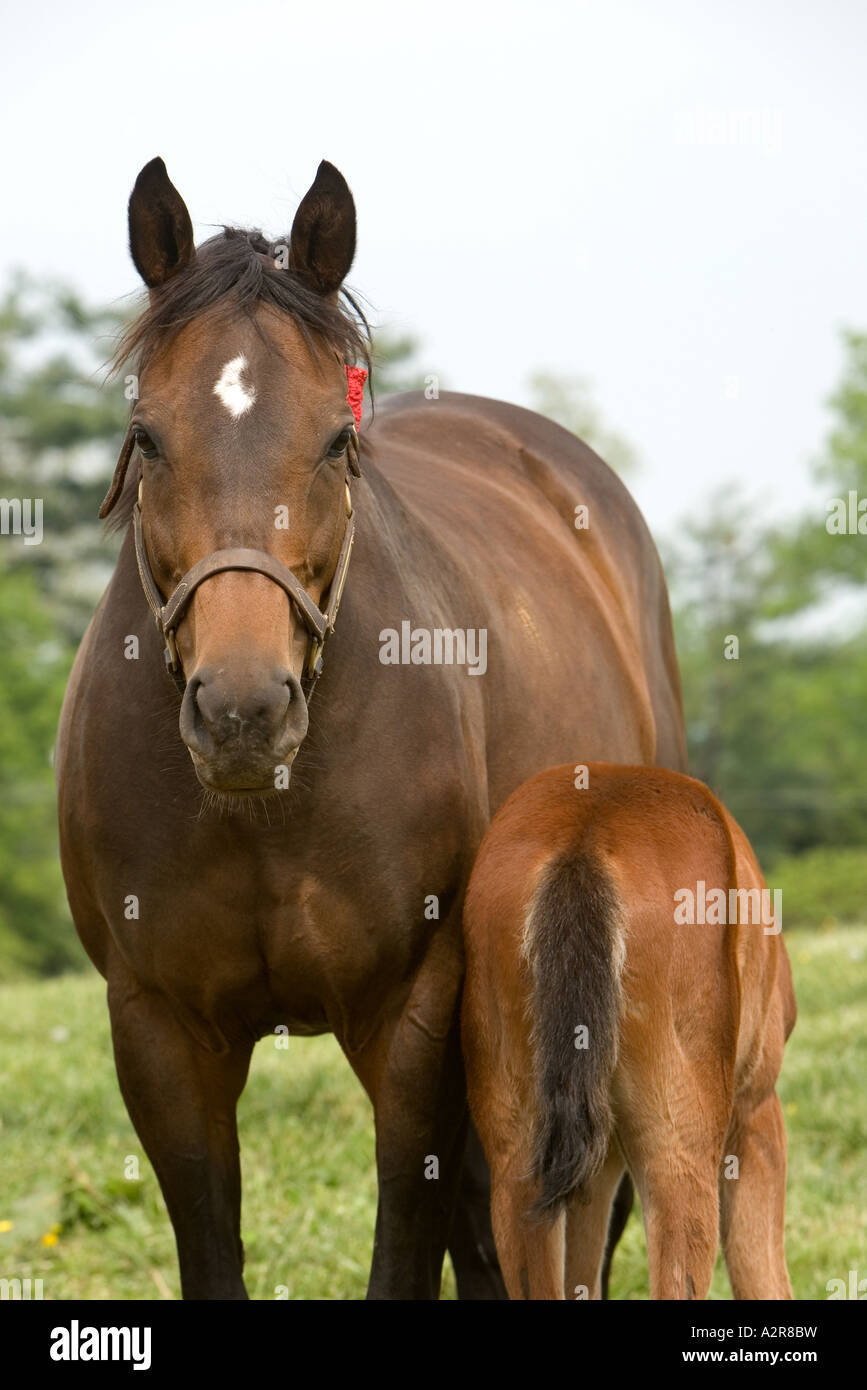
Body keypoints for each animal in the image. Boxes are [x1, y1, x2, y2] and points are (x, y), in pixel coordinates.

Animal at [55, 156, 687, 1299]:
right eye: (148, 436)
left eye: (336, 440)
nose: (243, 711)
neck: (263, 810)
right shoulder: (159, 1030)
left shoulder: (411, 1016)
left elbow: (409, 1242)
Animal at [462, 762, 797, 1300]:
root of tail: (584, 841)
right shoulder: (755, 1107)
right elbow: (761, 1273)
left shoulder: (596, 1165)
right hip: (678, 1147)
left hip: (520, 1154)